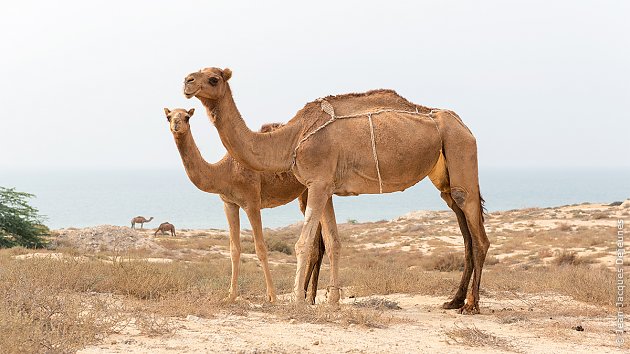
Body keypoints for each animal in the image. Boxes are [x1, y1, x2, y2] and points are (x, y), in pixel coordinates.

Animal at [165, 106, 328, 302]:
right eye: (168, 117)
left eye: (187, 117)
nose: (176, 124)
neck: (225, 171)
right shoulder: (229, 204)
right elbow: (234, 249)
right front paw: (231, 295)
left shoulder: (252, 202)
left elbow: (261, 248)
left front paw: (272, 296)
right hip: (305, 193)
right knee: (318, 244)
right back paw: (308, 297)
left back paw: (305, 296)